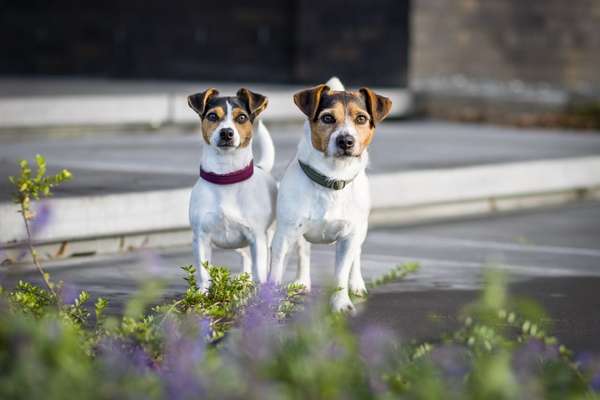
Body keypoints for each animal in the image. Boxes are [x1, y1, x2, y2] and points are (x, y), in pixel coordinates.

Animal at [188, 88, 276, 290]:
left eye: (242, 117)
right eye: (212, 116)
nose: (226, 132)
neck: (226, 177)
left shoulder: (257, 239)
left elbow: (260, 272)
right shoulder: (201, 239)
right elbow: (203, 273)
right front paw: (202, 295)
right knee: (246, 260)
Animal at [268, 78, 392, 312]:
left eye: (361, 118)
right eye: (327, 118)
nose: (346, 141)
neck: (332, 179)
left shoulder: (348, 238)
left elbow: (341, 273)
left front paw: (341, 303)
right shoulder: (284, 237)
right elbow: (275, 273)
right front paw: (267, 305)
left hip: (361, 230)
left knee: (356, 256)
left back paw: (357, 284)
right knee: (303, 252)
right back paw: (301, 281)